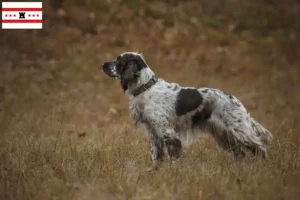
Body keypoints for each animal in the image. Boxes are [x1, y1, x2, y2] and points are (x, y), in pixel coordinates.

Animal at [102, 52, 274, 162]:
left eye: (119, 61)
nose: (103, 64)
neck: (146, 88)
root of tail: (236, 101)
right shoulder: (153, 133)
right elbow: (155, 156)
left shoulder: (168, 133)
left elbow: (173, 156)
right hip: (224, 134)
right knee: (241, 153)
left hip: (239, 130)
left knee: (260, 148)